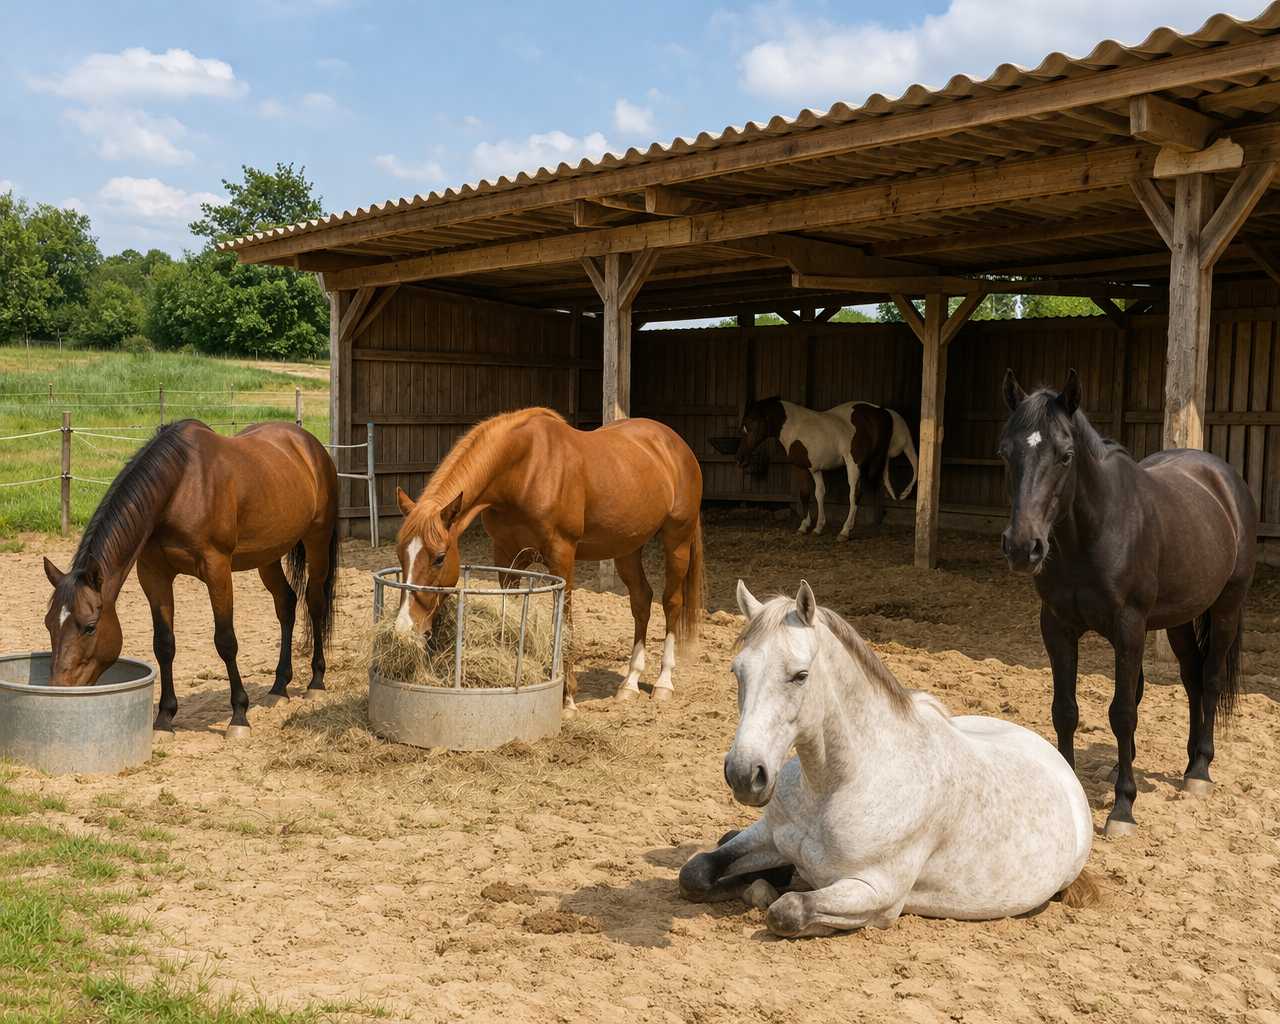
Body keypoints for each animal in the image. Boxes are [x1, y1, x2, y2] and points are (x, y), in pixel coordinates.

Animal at [42, 420, 339, 740]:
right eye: (48, 625)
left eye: (90, 627)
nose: (60, 688)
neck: (180, 486)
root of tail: (308, 443)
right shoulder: (154, 574)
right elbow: (164, 644)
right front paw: (164, 718)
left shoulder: (217, 569)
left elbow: (226, 640)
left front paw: (239, 715)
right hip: (268, 555)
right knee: (286, 604)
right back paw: (279, 687)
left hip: (317, 541)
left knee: (315, 603)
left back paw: (316, 682)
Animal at [392, 407, 704, 712]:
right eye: (400, 555)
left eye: (439, 558)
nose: (404, 628)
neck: (525, 469)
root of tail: (675, 444)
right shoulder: (506, 557)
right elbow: (511, 615)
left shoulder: (561, 555)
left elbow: (564, 622)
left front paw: (568, 698)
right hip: (627, 549)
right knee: (641, 601)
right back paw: (630, 683)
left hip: (677, 540)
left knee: (671, 602)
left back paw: (664, 683)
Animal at [679, 580, 1096, 937]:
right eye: (737, 671)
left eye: (800, 675)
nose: (744, 774)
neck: (838, 782)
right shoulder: (767, 834)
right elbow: (695, 872)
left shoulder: (875, 890)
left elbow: (790, 910)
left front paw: (773, 895)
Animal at [736, 397, 917, 540]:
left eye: (752, 424)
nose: (740, 459)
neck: (794, 426)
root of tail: (881, 411)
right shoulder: (815, 469)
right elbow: (819, 494)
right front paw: (817, 527)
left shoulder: (801, 468)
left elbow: (804, 494)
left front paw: (804, 526)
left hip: (856, 463)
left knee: (856, 494)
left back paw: (845, 531)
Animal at [999, 368, 1256, 837]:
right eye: (1006, 452)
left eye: (1066, 456)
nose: (1024, 547)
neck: (1094, 531)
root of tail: (1224, 480)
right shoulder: (1057, 627)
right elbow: (1065, 710)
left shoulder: (1129, 628)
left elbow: (1123, 712)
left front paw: (1122, 807)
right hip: (1179, 620)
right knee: (1192, 679)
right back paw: (1187, 760)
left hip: (1227, 606)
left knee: (1210, 679)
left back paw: (1200, 771)